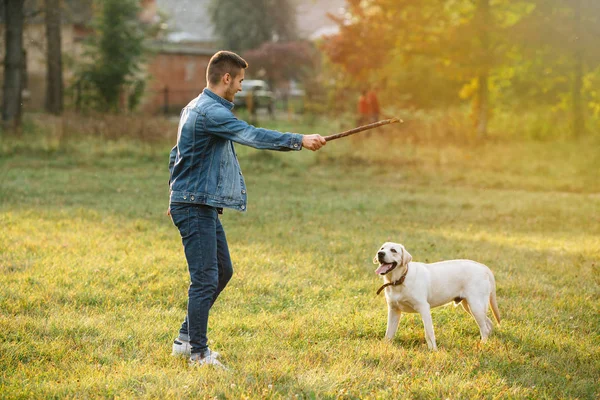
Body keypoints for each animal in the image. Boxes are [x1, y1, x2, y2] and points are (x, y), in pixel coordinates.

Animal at [372, 241, 500, 350]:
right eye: (382, 248)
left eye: (393, 250)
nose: (380, 253)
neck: (400, 279)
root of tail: (483, 267)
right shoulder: (394, 310)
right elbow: (389, 333)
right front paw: (385, 347)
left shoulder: (424, 308)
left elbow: (429, 332)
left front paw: (433, 350)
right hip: (469, 306)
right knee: (488, 324)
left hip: (476, 306)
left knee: (484, 328)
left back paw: (482, 345)